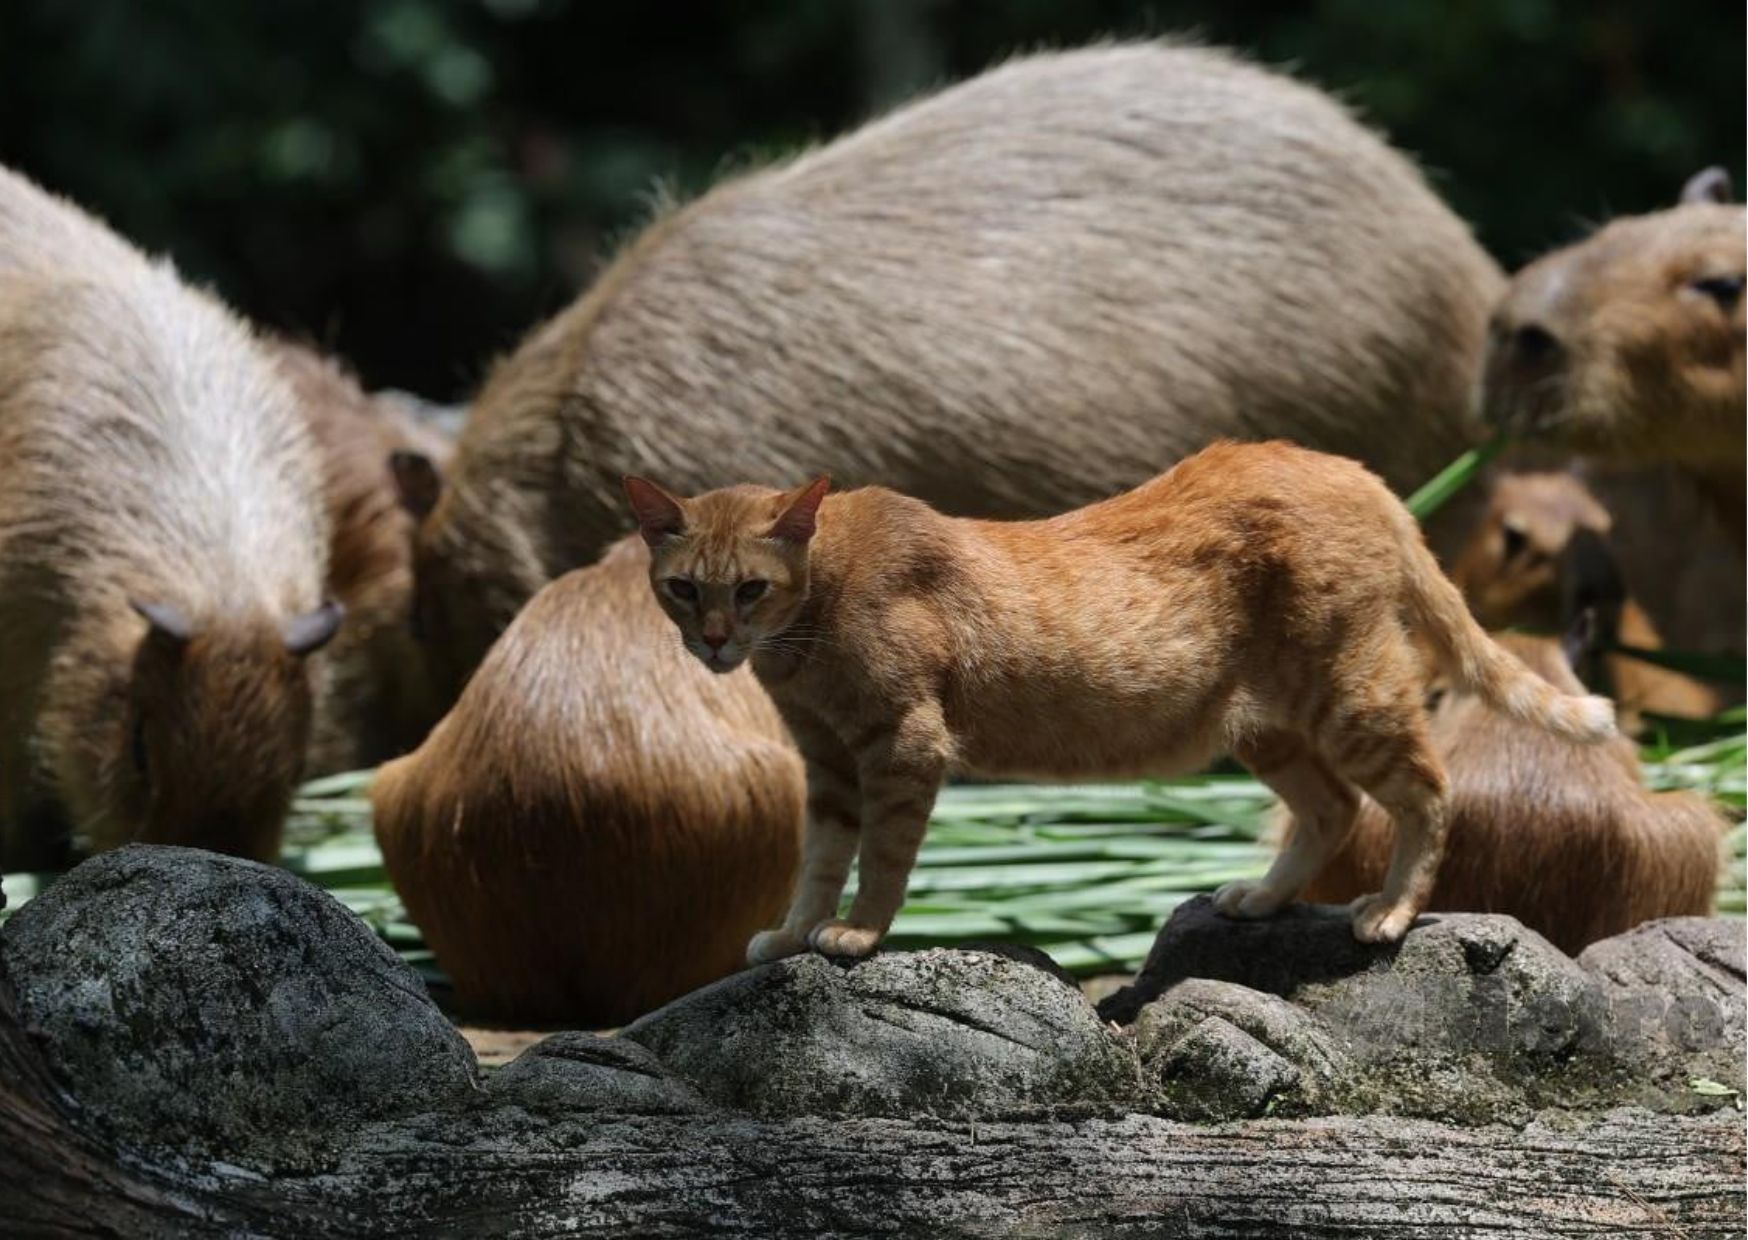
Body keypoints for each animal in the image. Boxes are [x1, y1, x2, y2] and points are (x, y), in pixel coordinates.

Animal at [625, 440, 1608, 951]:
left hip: (1352, 697)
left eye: (750, 589)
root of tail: (1352, 470)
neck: (805, 638)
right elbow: (821, 860)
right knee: (1332, 810)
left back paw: (1393, 911)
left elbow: (882, 861)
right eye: (683, 588)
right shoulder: (827, 764)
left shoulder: (904, 747)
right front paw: (793, 934)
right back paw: (1261, 899)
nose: (715, 639)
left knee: (1428, 793)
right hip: (1269, 729)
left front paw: (857, 936)